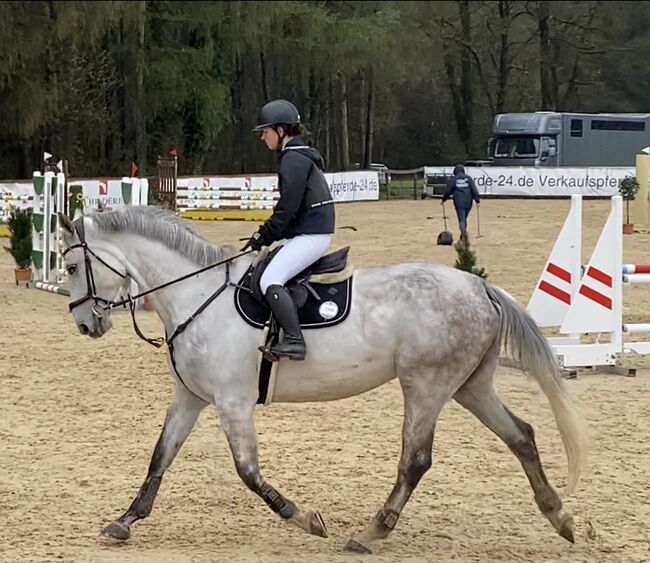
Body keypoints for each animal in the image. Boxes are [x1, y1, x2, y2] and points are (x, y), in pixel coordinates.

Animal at [58, 207, 588, 556]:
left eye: (70, 266)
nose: (85, 325)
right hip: (468, 386)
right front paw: (125, 520)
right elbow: (159, 457)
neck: (197, 295)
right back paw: (559, 517)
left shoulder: (232, 402)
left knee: (415, 460)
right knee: (522, 435)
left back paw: (372, 532)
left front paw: (306, 519)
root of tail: (480, 286)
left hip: (427, 385)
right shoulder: (191, 397)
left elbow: (248, 472)